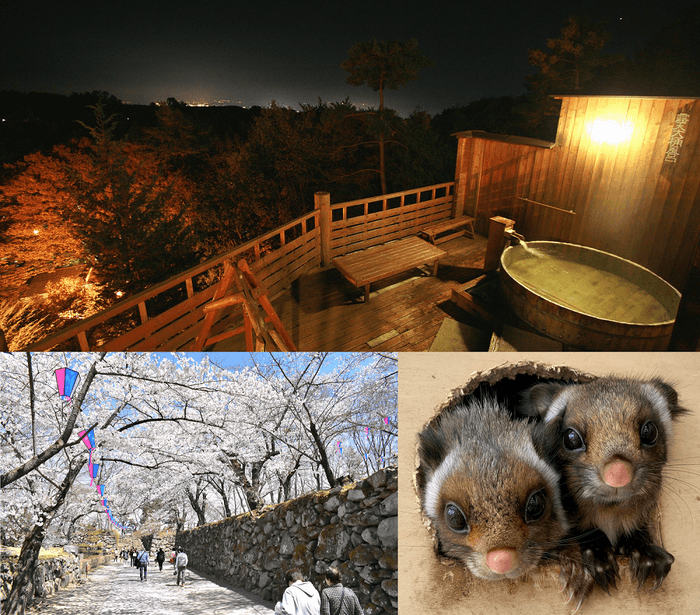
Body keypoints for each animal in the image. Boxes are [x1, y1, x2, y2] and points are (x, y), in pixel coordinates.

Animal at [520, 378, 688, 600]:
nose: (618, 475)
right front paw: (596, 556)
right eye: (571, 438)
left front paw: (646, 553)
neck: (610, 515)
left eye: (649, 431)